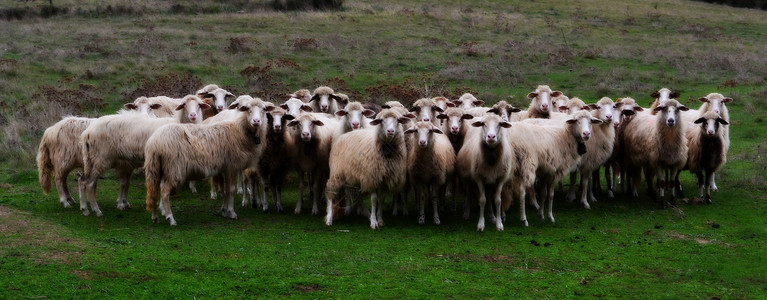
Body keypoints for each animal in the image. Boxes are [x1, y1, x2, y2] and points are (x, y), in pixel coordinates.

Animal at [78, 95, 210, 217]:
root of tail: (87, 133)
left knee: (83, 180)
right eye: (184, 105)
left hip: (90, 158)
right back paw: (97, 211)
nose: (193, 116)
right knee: (89, 183)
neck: (177, 124)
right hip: (101, 158)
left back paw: (85, 209)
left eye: (199, 105)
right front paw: (163, 209)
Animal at [145, 96, 272, 225]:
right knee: (165, 192)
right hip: (174, 168)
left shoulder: (224, 168)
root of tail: (154, 143)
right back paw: (170, 218)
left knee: (155, 190)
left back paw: (155, 216)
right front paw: (231, 212)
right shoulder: (231, 167)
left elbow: (225, 190)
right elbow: (230, 190)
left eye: (264, 109)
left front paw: (224, 210)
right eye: (248, 109)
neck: (241, 131)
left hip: (160, 168)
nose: (256, 121)